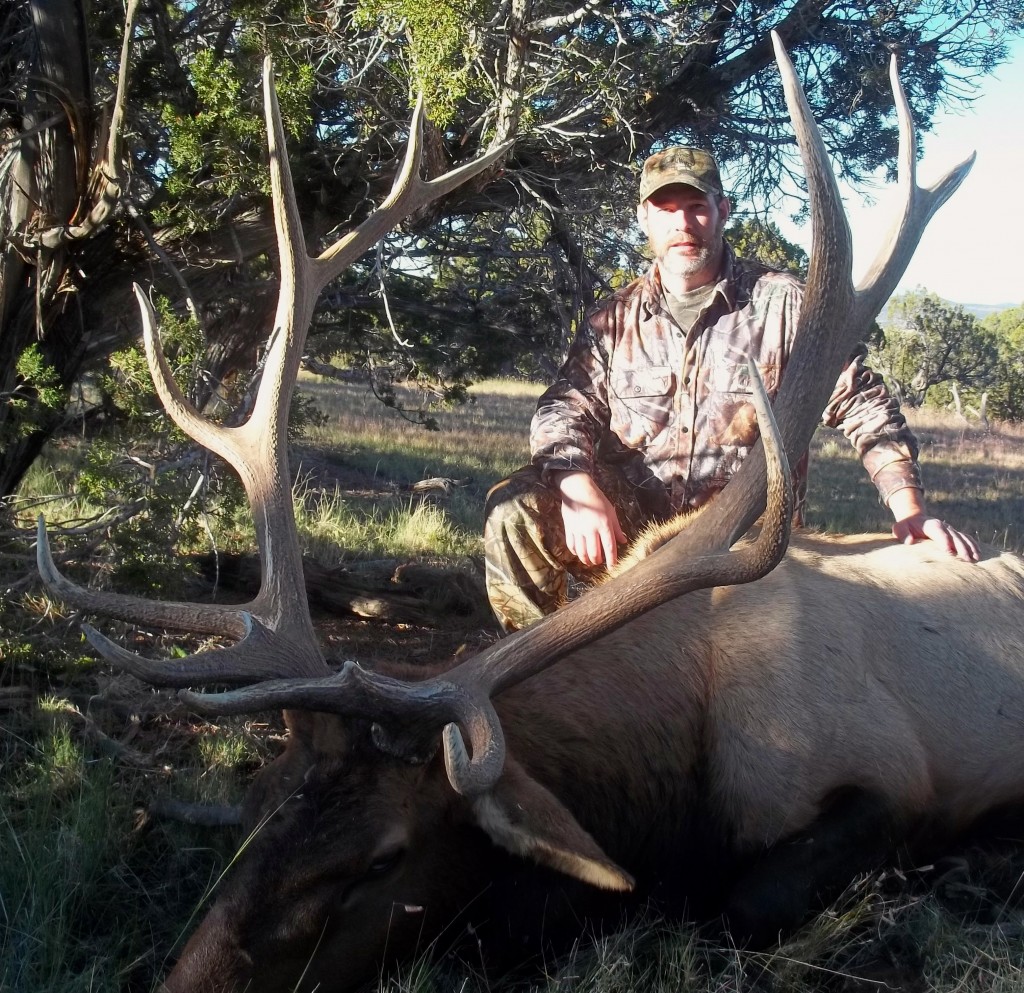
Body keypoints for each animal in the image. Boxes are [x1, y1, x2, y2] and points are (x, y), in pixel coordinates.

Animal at [34, 30, 1024, 990]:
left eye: (382, 859)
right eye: (258, 806)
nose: (183, 981)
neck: (682, 771)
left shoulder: (891, 778)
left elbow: (743, 903)